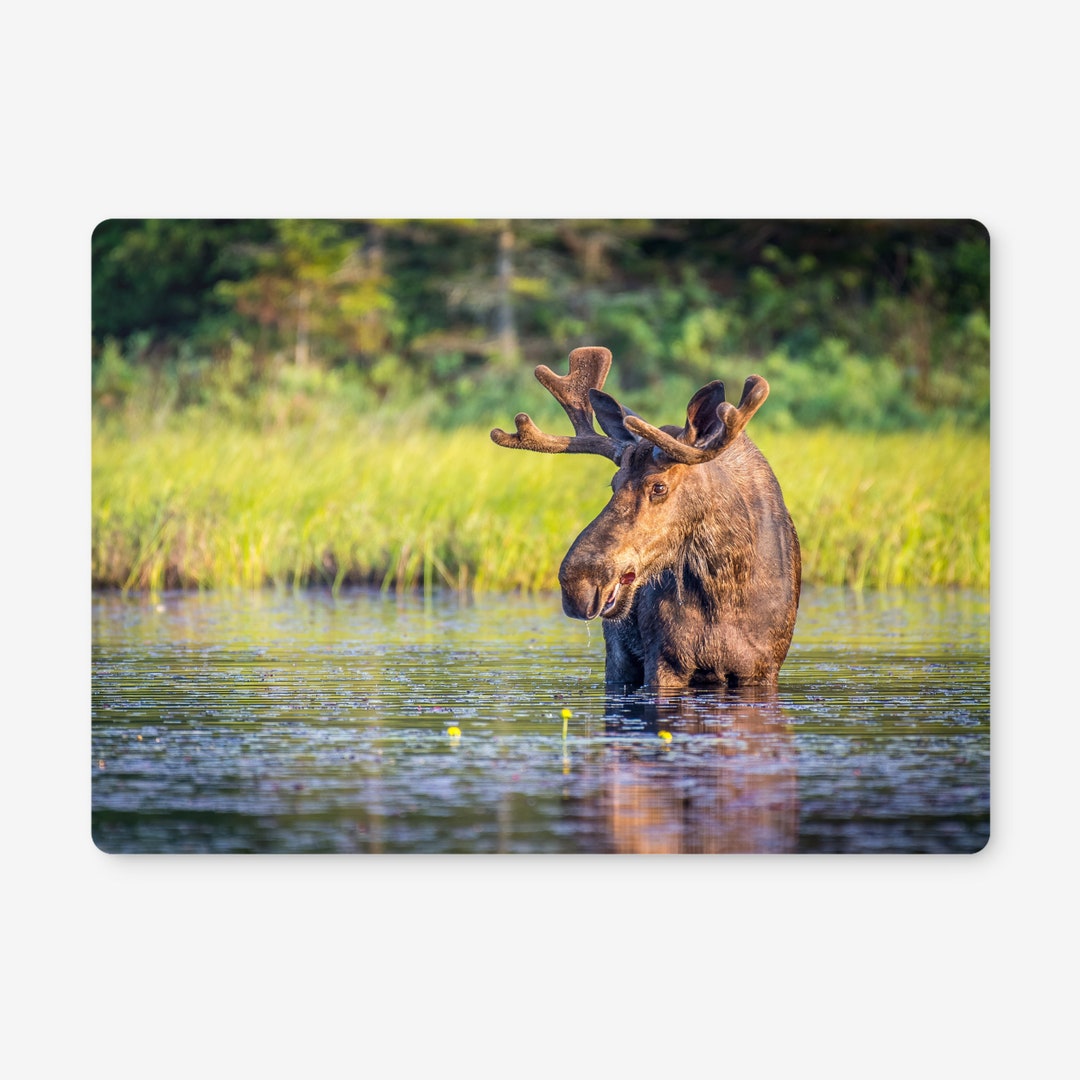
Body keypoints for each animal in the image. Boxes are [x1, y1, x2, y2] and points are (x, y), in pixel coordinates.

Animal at [491, 346, 801, 692]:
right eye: (613, 484)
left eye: (659, 486)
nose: (578, 583)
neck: (726, 588)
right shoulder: (664, 660)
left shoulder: (762, 668)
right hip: (618, 657)